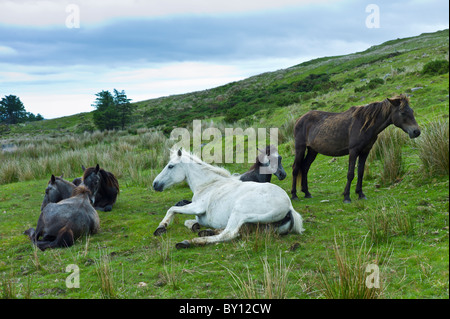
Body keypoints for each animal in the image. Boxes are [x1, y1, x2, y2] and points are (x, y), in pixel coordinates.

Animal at [153, 149, 304, 249]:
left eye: (170, 166)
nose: (155, 184)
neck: (208, 184)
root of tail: (289, 207)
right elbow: (189, 222)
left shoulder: (197, 207)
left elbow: (172, 209)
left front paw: (161, 226)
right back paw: (207, 232)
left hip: (239, 212)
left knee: (229, 234)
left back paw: (191, 241)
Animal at [292, 95, 422, 204]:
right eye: (402, 112)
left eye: (412, 111)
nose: (416, 132)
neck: (365, 124)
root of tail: (299, 119)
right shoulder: (353, 151)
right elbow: (351, 174)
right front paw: (346, 196)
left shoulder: (365, 151)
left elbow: (360, 172)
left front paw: (360, 194)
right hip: (300, 148)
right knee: (296, 168)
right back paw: (294, 195)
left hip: (312, 150)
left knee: (305, 167)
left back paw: (307, 193)